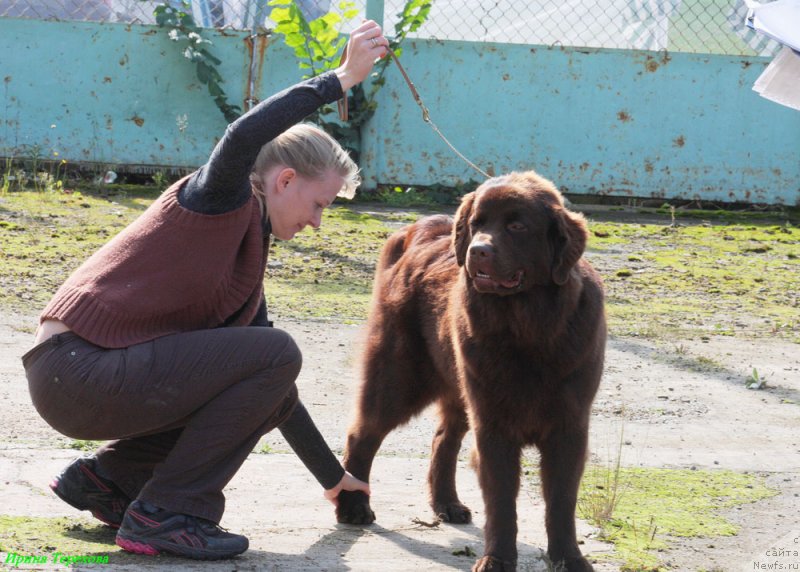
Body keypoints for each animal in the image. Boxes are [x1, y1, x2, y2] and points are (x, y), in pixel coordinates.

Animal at [336, 171, 608, 572]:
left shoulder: (569, 426)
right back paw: (353, 507)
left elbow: (561, 501)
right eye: (477, 224)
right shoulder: (493, 424)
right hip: (399, 378)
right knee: (362, 434)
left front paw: (568, 559)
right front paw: (497, 560)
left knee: (443, 438)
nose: (477, 251)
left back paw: (446, 503)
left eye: (516, 225)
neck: (527, 328)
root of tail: (421, 232)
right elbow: (501, 503)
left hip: (458, 386)